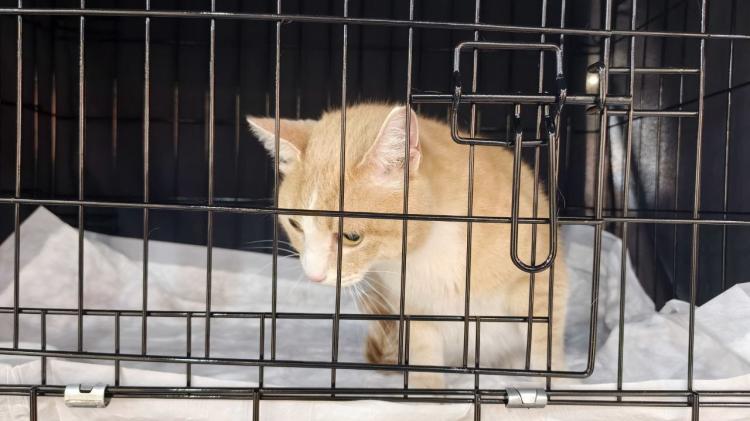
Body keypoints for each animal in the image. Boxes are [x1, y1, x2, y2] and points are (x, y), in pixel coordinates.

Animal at [247, 102, 567, 388]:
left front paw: (553, 386)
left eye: (352, 236)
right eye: (296, 225)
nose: (313, 275)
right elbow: (424, 356)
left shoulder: (540, 280)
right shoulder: (412, 308)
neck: (428, 250)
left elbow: (544, 340)